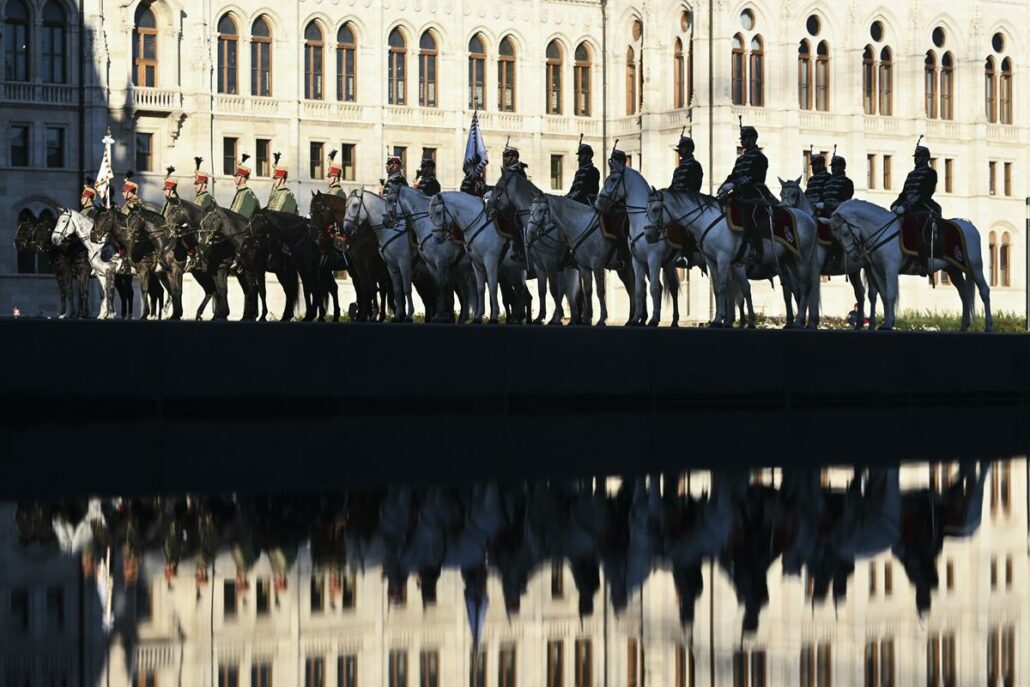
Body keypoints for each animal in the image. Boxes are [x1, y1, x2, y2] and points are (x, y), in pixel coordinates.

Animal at [341, 188, 414, 323]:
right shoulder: (361, 267)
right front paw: (363, 315)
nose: (346, 229)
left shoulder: (375, 265)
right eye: (346, 206)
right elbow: (365, 288)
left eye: (355, 205)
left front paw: (373, 314)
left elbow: (374, 288)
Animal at [426, 192, 523, 323]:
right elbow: (480, 288)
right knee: (520, 290)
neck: (478, 225)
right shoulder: (477, 264)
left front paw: (494, 317)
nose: (436, 238)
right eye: (430, 214)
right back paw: (517, 317)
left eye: (438, 212)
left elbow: (493, 286)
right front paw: (478, 317)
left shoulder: (490, 261)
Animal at [593, 166, 679, 327]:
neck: (641, 222)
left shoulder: (654, 259)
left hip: (669, 264)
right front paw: (635, 319)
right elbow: (639, 289)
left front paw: (653, 319)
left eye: (613, 179)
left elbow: (653, 288)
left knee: (673, 288)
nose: (598, 203)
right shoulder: (637, 261)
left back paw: (675, 320)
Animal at [828, 199, 988, 331]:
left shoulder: (890, 269)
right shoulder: (877, 270)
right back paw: (964, 326)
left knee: (984, 290)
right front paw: (887, 322)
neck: (883, 231)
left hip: (975, 267)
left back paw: (988, 325)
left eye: (844, 233)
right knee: (964, 294)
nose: (854, 256)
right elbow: (884, 296)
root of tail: (969, 225)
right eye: (834, 234)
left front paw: (888, 324)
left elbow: (890, 294)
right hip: (953, 269)